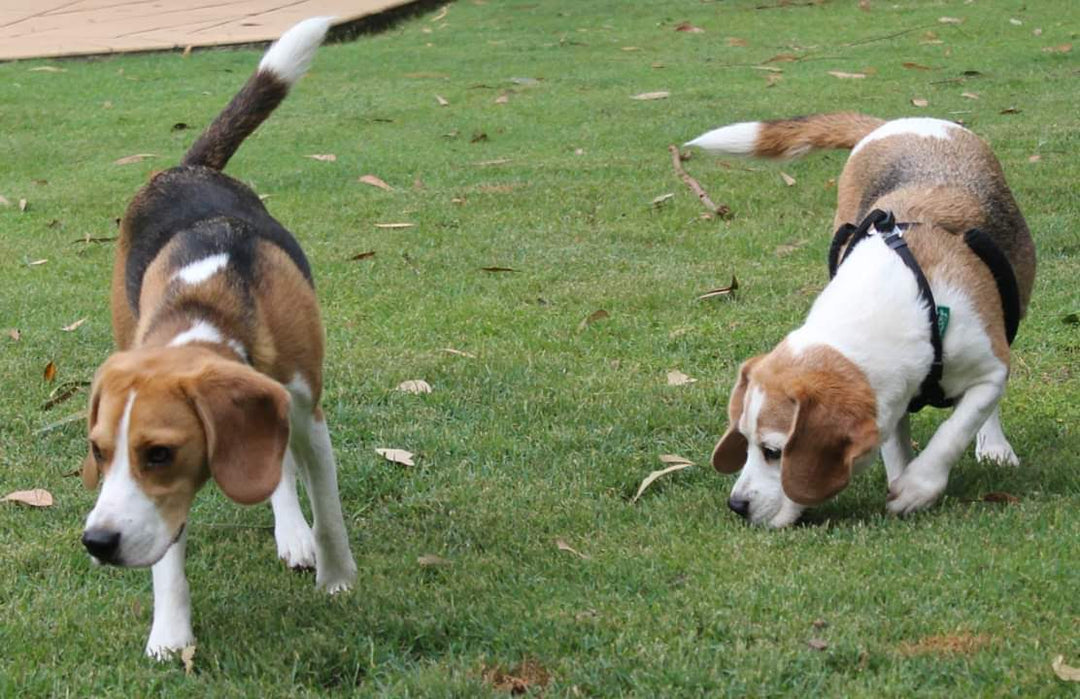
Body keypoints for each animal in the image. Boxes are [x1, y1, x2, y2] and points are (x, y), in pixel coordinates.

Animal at [82, 17, 358, 661]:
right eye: (98, 452)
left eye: (159, 453)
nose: (97, 542)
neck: (207, 312)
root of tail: (188, 168)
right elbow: (168, 559)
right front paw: (170, 633)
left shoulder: (306, 414)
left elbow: (329, 513)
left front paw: (338, 579)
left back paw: (296, 536)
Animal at [686, 113, 1032, 525]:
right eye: (746, 440)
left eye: (774, 452)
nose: (737, 506)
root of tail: (902, 121)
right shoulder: (893, 395)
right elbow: (896, 447)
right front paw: (902, 482)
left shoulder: (990, 369)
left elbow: (956, 428)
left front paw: (917, 487)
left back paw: (994, 445)